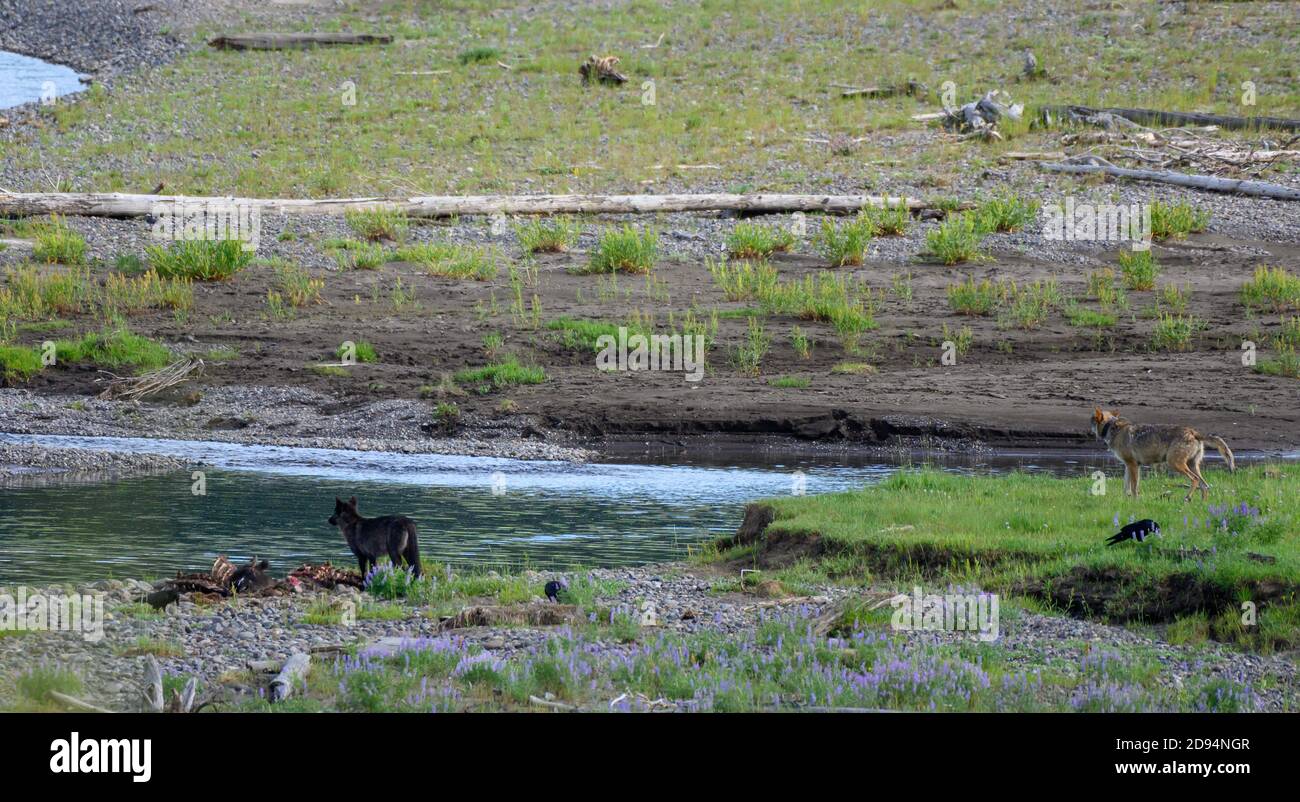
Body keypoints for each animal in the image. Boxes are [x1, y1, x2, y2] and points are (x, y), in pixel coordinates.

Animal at [1090, 408, 1235, 500]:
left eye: (1091, 420)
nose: (1088, 429)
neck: (1113, 428)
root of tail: (1193, 432)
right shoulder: (1129, 465)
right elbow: (1126, 488)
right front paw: (1125, 501)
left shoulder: (1133, 465)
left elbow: (1134, 488)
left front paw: (1135, 502)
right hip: (1192, 466)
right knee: (1204, 486)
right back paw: (1201, 504)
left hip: (1175, 464)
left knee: (1195, 480)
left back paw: (1187, 498)